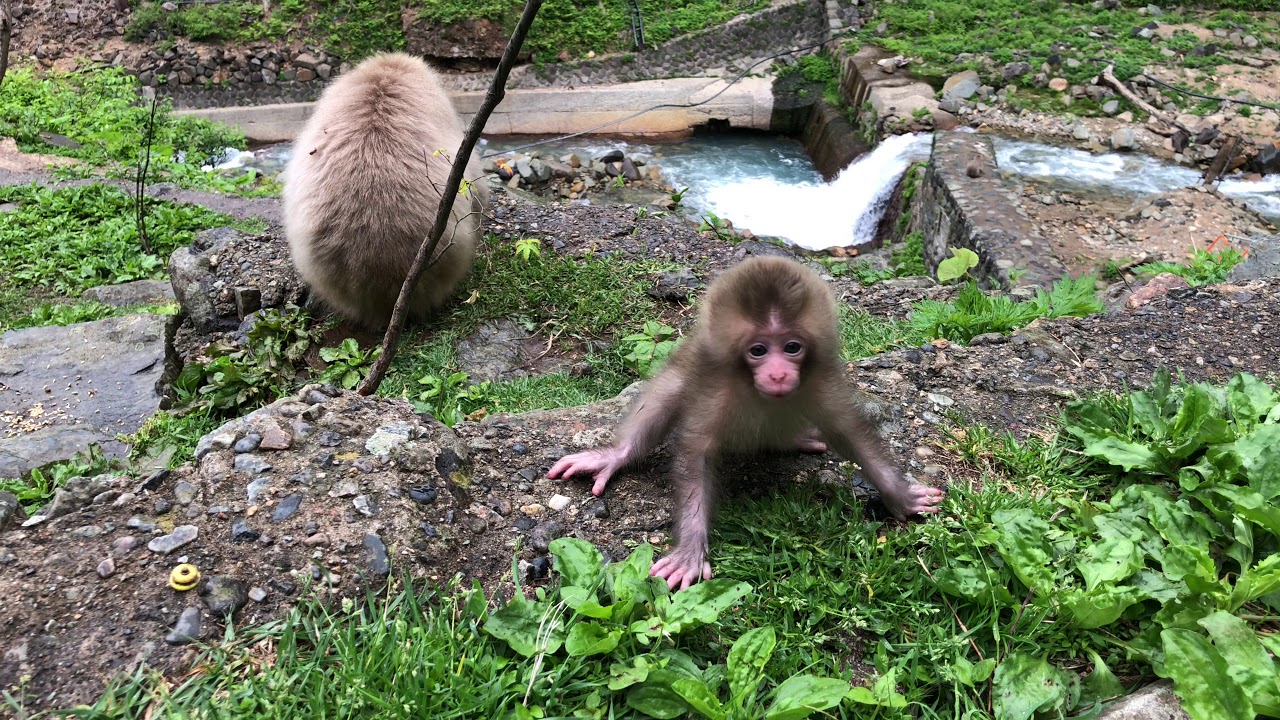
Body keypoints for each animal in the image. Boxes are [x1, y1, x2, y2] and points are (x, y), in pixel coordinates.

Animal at [548, 257, 945, 590]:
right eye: (758, 351)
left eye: (792, 347)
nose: (779, 374)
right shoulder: (715, 385)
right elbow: (696, 452)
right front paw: (691, 550)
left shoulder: (821, 380)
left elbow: (851, 434)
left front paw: (901, 496)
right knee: (669, 392)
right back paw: (616, 455)